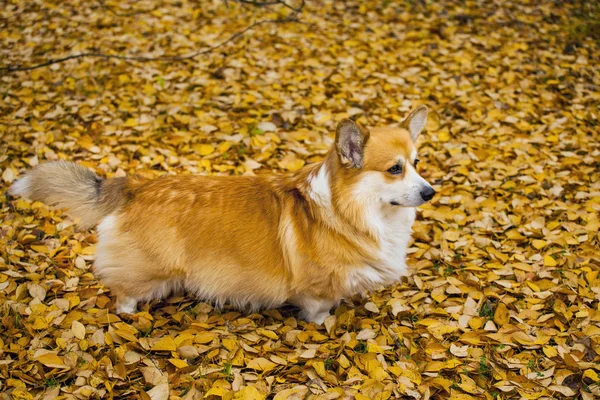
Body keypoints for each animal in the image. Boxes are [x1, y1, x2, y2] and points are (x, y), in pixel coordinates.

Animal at [8, 107, 436, 324]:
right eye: (394, 169)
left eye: (416, 163)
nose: (431, 193)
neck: (350, 210)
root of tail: (137, 186)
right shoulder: (316, 292)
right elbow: (318, 313)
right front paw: (324, 326)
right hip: (148, 268)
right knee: (125, 292)